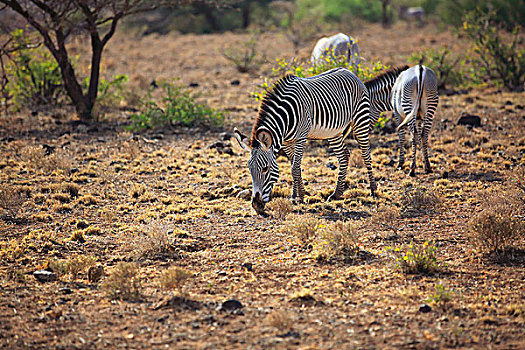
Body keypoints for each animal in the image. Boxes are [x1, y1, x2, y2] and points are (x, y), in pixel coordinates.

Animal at [234, 67, 376, 215]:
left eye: (265, 168)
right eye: (249, 169)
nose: (256, 205)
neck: (285, 117)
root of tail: (349, 71)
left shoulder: (301, 138)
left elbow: (295, 168)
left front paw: (294, 196)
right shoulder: (286, 142)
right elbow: (294, 165)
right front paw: (301, 194)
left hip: (360, 119)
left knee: (365, 154)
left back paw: (372, 189)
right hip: (334, 131)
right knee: (343, 156)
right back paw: (337, 194)